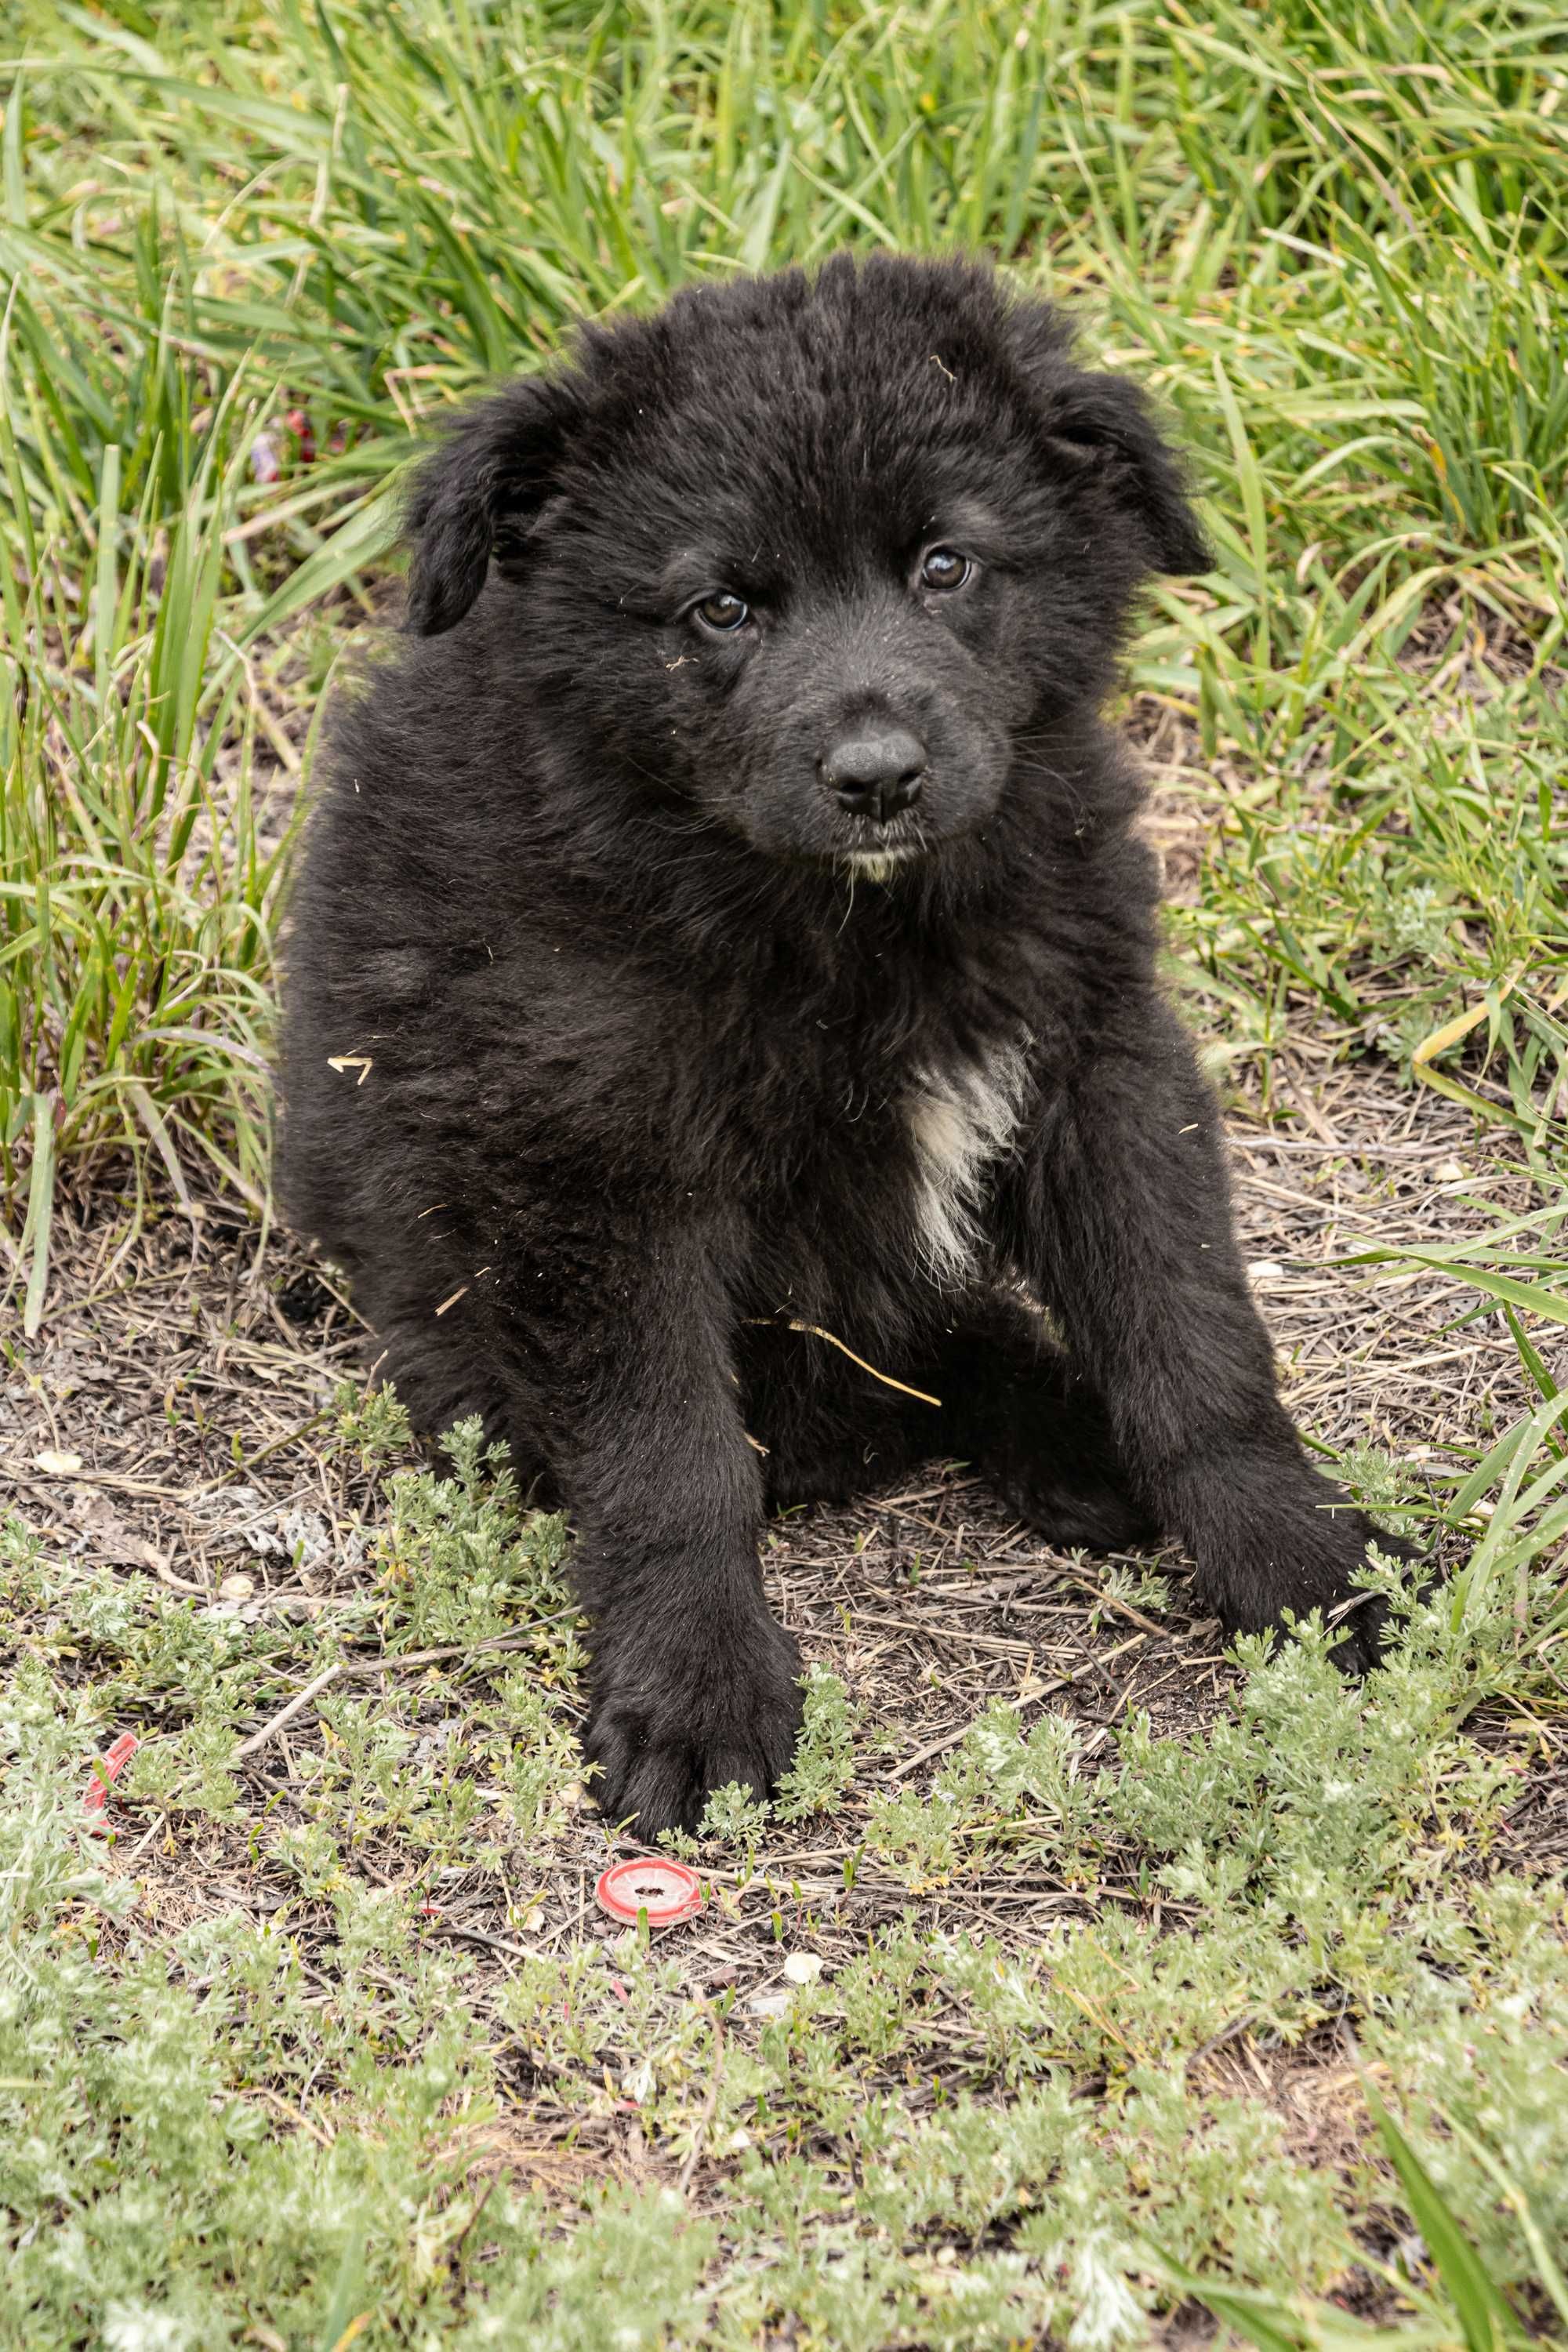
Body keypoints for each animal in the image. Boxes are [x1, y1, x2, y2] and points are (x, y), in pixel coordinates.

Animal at [281, 257, 1401, 1835]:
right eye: (720, 607)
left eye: (946, 565)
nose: (878, 777)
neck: (842, 928)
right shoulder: (592, 1160)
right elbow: (671, 1462)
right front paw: (698, 1689)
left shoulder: (1099, 1056)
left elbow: (1193, 1340)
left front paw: (1302, 1570)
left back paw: (1082, 1444)